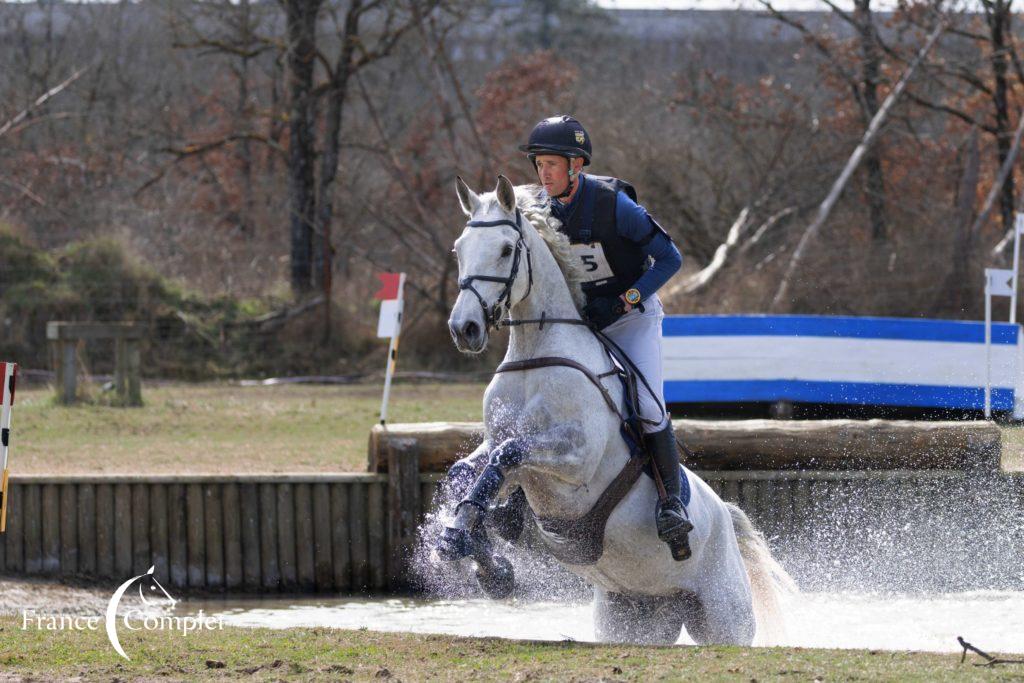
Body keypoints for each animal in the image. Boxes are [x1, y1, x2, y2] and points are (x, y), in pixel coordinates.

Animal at [436, 176, 794, 647]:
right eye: (459, 248)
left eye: (505, 249)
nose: (465, 329)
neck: (537, 353)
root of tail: (726, 519)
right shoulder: (508, 451)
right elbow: (471, 468)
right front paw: (474, 550)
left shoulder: (577, 457)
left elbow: (508, 454)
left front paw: (473, 548)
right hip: (631, 617)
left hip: (725, 620)